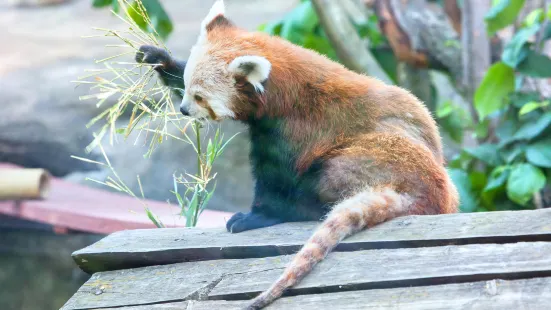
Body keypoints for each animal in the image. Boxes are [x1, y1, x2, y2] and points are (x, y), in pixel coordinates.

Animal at [155, 1, 458, 308]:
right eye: (187, 88)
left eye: (201, 97)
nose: (183, 110)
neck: (282, 88)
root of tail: (432, 194)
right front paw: (162, 61)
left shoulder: (294, 129)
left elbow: (276, 178)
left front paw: (257, 216)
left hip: (373, 156)